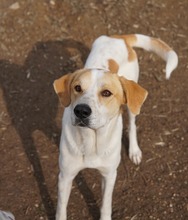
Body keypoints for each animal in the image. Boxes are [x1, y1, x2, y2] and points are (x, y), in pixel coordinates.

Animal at [53, 34, 178, 220]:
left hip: (132, 106)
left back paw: (134, 151)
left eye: (106, 93)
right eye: (77, 88)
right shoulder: (65, 176)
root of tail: (120, 36)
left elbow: (106, 205)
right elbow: (61, 209)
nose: (81, 111)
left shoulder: (109, 175)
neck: (92, 140)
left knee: (132, 124)